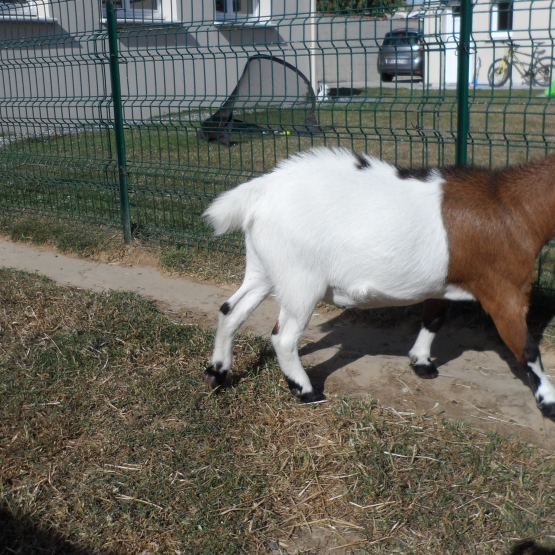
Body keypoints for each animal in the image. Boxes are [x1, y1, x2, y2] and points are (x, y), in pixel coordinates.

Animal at [205, 148, 555, 416]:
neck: (512, 209)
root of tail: (261, 191)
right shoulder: (505, 289)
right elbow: (526, 347)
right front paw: (549, 401)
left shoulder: (440, 284)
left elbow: (433, 318)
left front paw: (421, 362)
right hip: (300, 279)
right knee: (284, 336)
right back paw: (306, 391)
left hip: (264, 268)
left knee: (230, 311)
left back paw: (217, 373)